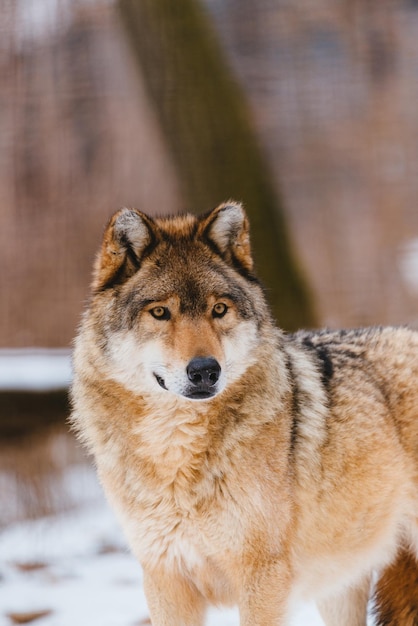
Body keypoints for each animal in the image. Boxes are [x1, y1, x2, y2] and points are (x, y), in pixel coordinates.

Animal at [72, 201, 418, 624]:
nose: (205, 370)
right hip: (339, 590)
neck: (177, 455)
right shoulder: (165, 579)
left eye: (219, 309)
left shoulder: (262, 579)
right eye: (160, 312)